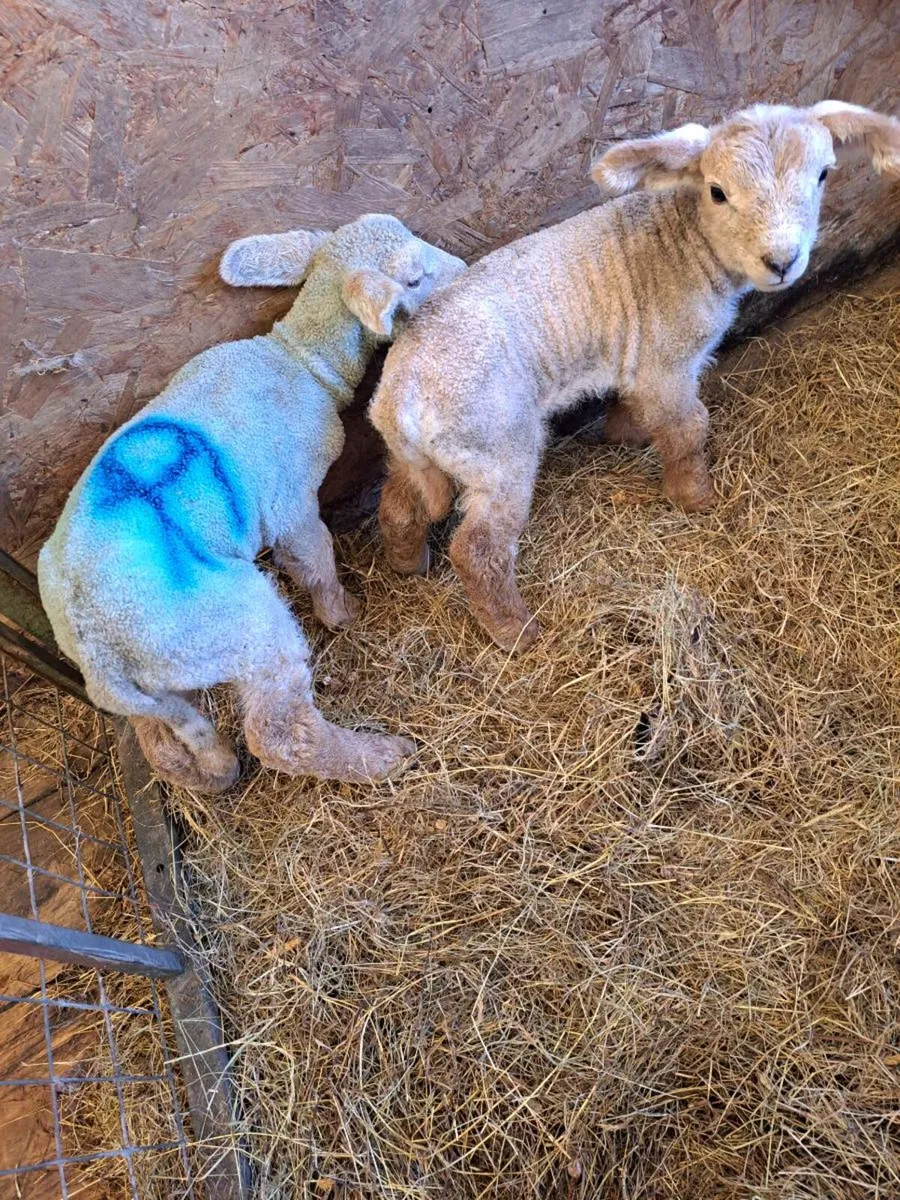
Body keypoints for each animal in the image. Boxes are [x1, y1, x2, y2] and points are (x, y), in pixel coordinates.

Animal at [38, 214, 465, 794]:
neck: (298, 360)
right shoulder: (290, 502)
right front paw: (342, 613)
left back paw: (213, 772)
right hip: (238, 627)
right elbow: (314, 560)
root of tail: (98, 653)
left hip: (158, 685)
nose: (465, 269)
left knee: (165, 739)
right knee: (279, 732)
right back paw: (378, 757)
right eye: (414, 279)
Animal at [370, 101, 900, 653]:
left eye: (822, 175)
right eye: (717, 191)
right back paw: (515, 631)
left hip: (422, 455)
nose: (781, 261)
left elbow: (635, 407)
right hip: (497, 445)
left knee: (400, 504)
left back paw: (408, 564)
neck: (686, 243)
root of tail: (398, 401)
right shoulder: (666, 363)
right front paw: (695, 497)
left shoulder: (641, 361)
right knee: (478, 548)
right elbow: (688, 429)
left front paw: (624, 433)